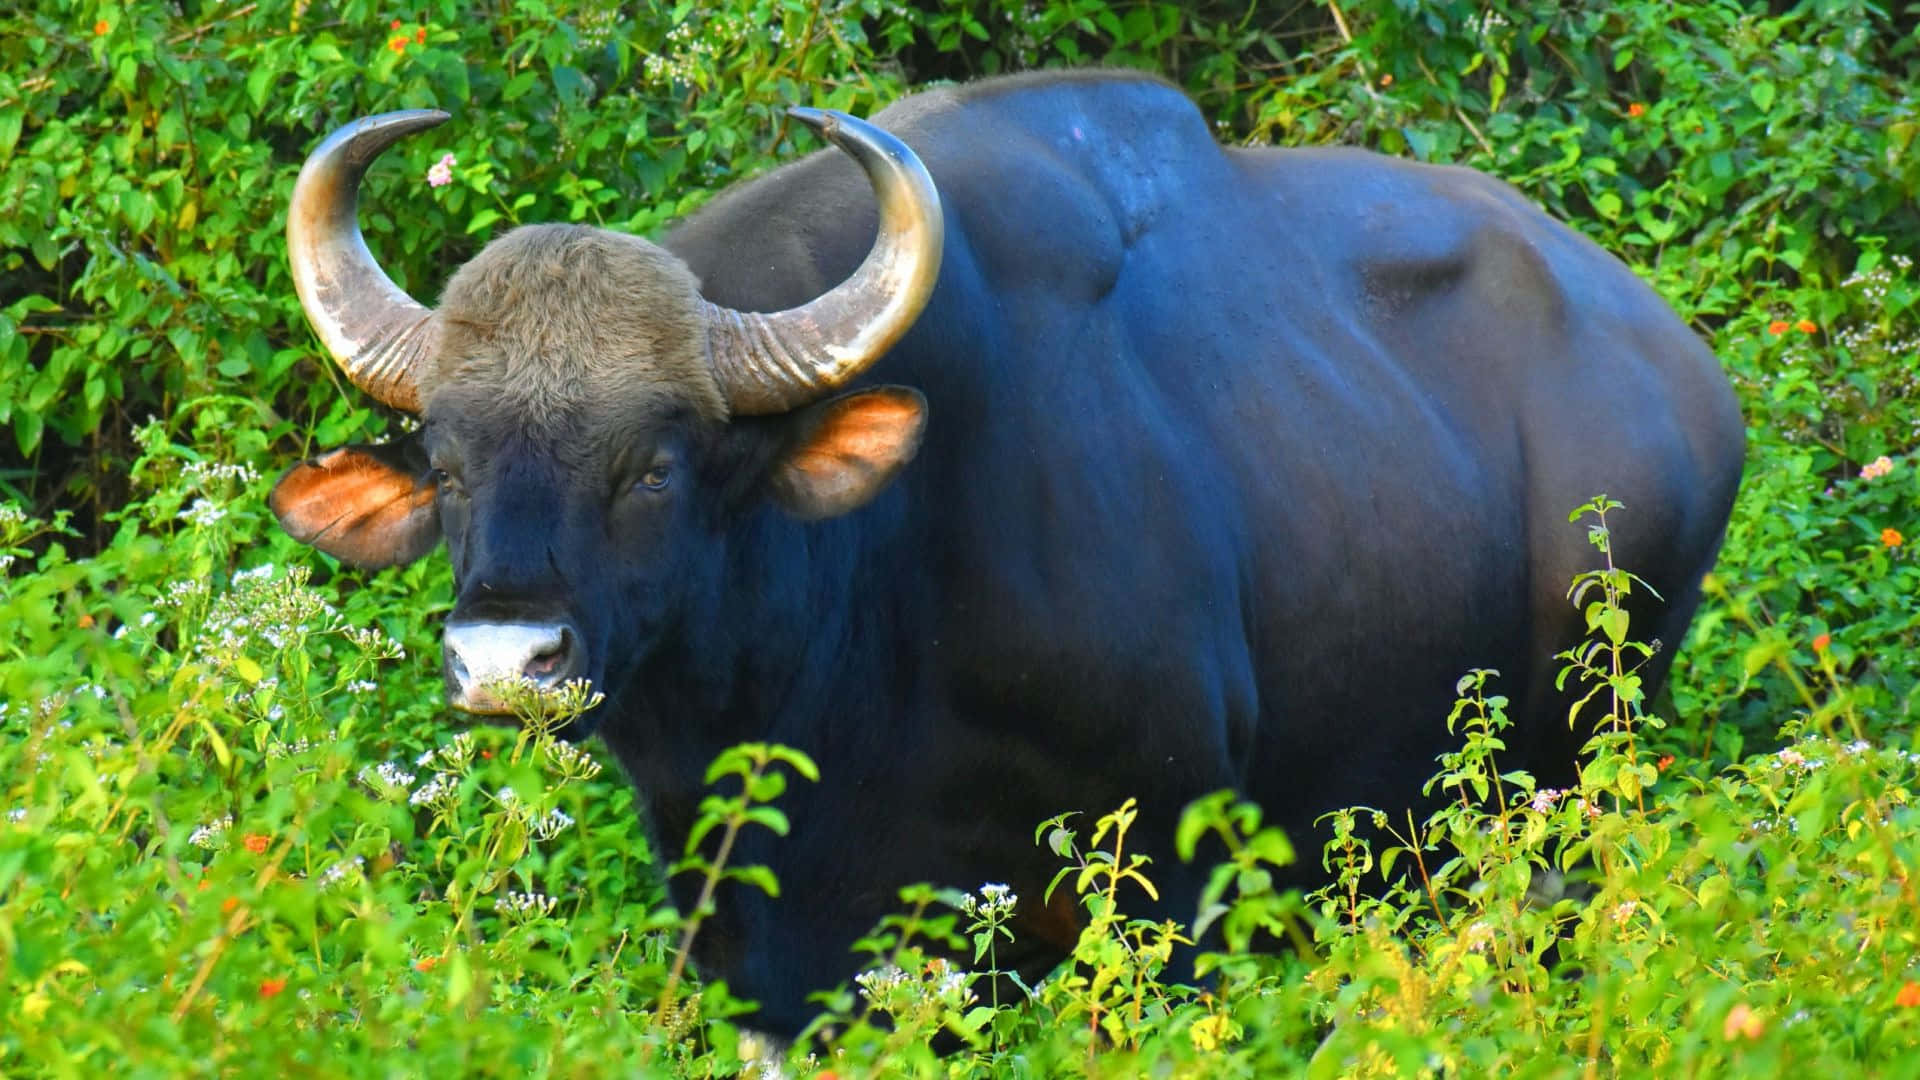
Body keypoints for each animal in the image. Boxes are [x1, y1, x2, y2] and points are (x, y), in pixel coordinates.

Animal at [267, 70, 1744, 1035]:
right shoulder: (760, 934)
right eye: (449, 461)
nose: (504, 658)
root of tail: (1686, 378)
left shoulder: (1164, 886)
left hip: (1575, 790)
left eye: (655, 463)